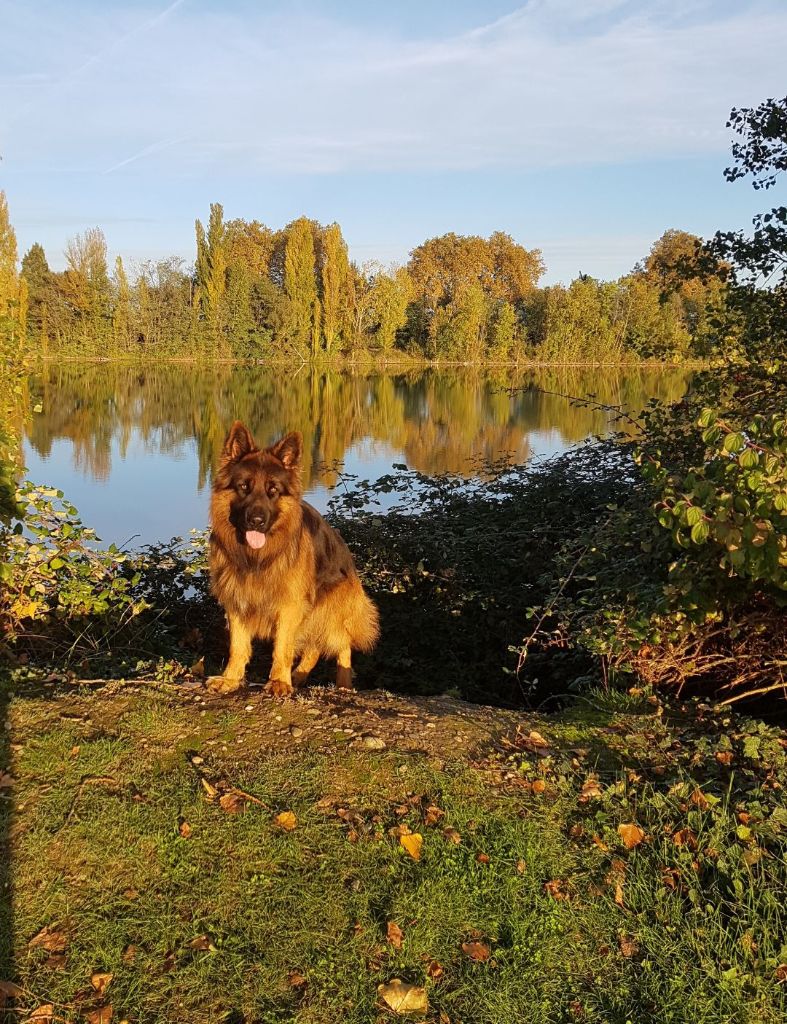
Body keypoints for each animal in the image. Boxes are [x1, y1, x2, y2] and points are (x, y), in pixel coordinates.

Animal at [205, 417, 376, 696]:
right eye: (244, 487)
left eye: (273, 490)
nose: (257, 521)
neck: (257, 558)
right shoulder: (237, 600)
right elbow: (238, 647)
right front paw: (230, 679)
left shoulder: (290, 605)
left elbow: (282, 648)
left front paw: (279, 682)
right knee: (314, 648)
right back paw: (299, 676)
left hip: (328, 609)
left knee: (342, 644)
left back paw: (342, 685)